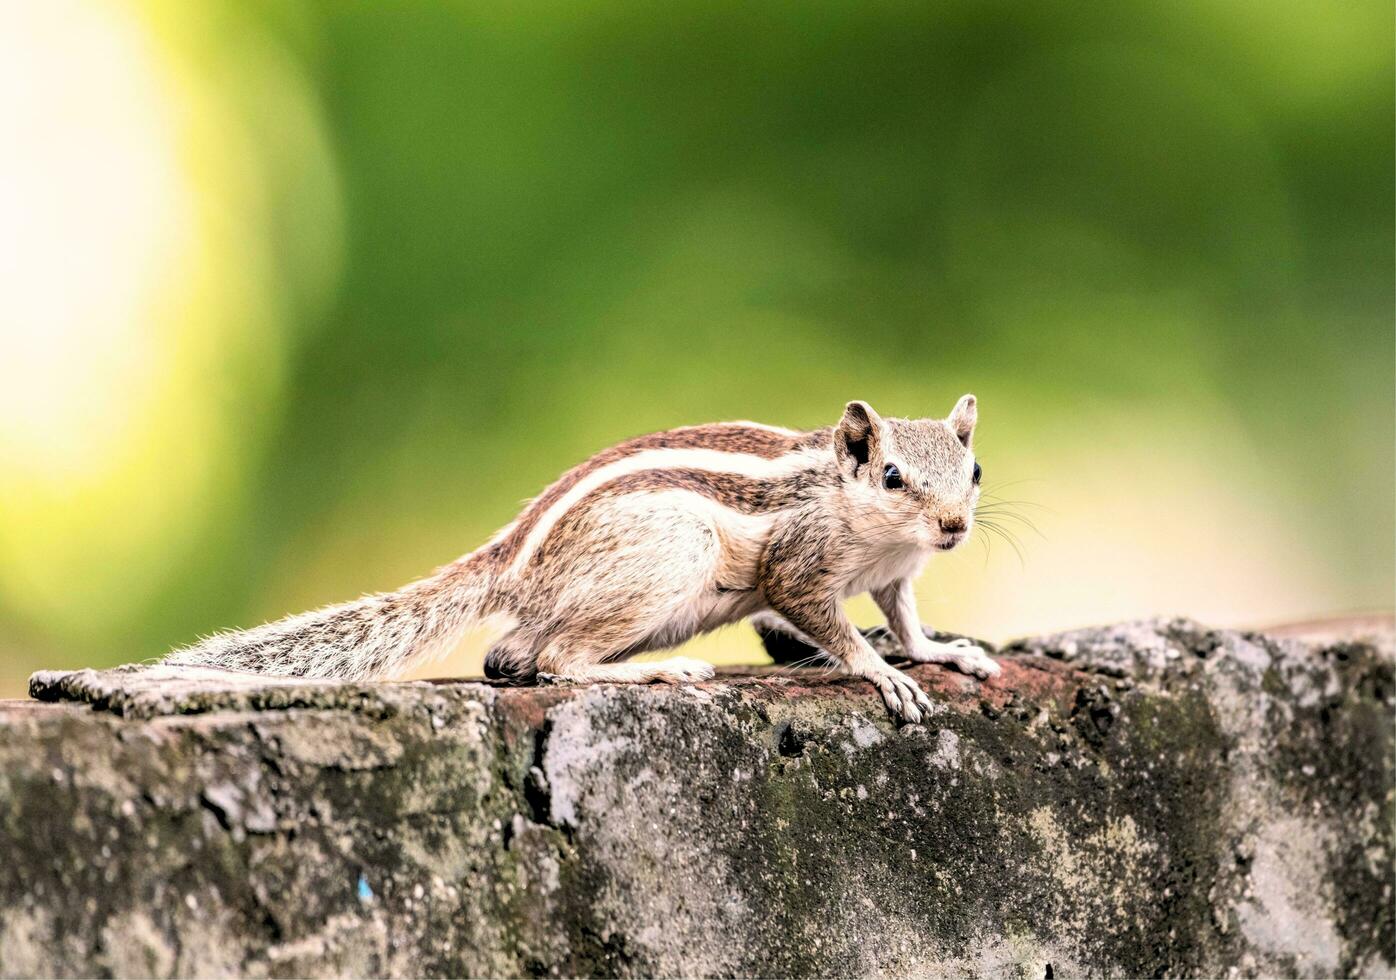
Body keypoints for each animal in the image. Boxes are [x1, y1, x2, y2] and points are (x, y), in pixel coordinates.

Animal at [163, 396, 999, 725]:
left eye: (976, 471)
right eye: (892, 478)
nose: (954, 527)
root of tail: (511, 560)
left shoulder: (895, 578)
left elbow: (906, 617)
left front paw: (942, 652)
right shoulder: (796, 567)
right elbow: (828, 622)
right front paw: (882, 671)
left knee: (510, 658)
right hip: (671, 553)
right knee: (558, 660)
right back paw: (654, 673)